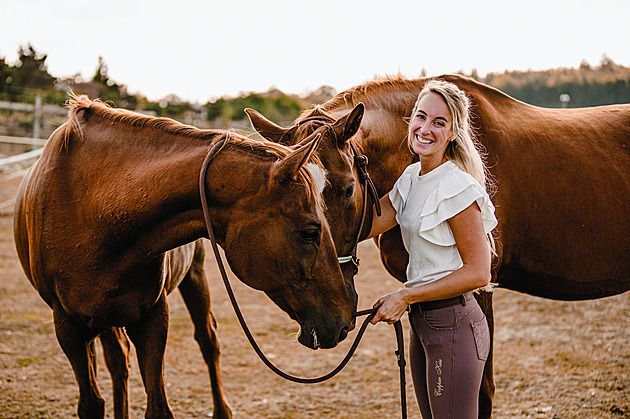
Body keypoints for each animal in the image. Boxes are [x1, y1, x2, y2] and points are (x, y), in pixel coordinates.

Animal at [14, 96, 358, 419]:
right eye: (310, 232)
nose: (345, 322)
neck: (93, 208)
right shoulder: (68, 328)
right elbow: (91, 404)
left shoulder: (151, 318)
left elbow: (158, 407)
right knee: (119, 364)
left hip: (193, 278)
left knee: (207, 342)